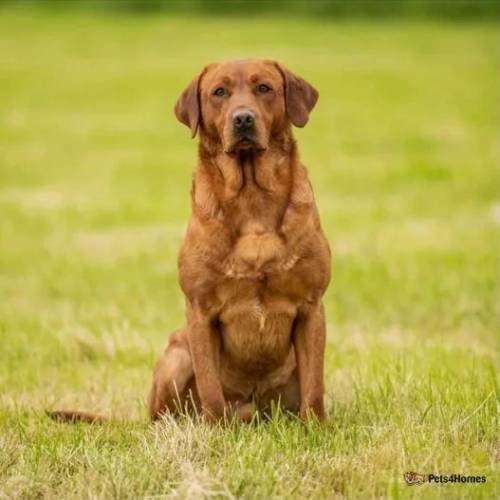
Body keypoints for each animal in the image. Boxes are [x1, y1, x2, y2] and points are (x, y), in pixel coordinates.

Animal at [49, 59, 332, 426]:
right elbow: (210, 384)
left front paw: (317, 428)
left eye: (264, 88)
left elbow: (315, 384)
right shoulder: (200, 309)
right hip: (176, 355)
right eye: (219, 92)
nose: (243, 119)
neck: (252, 199)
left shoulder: (311, 306)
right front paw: (216, 430)